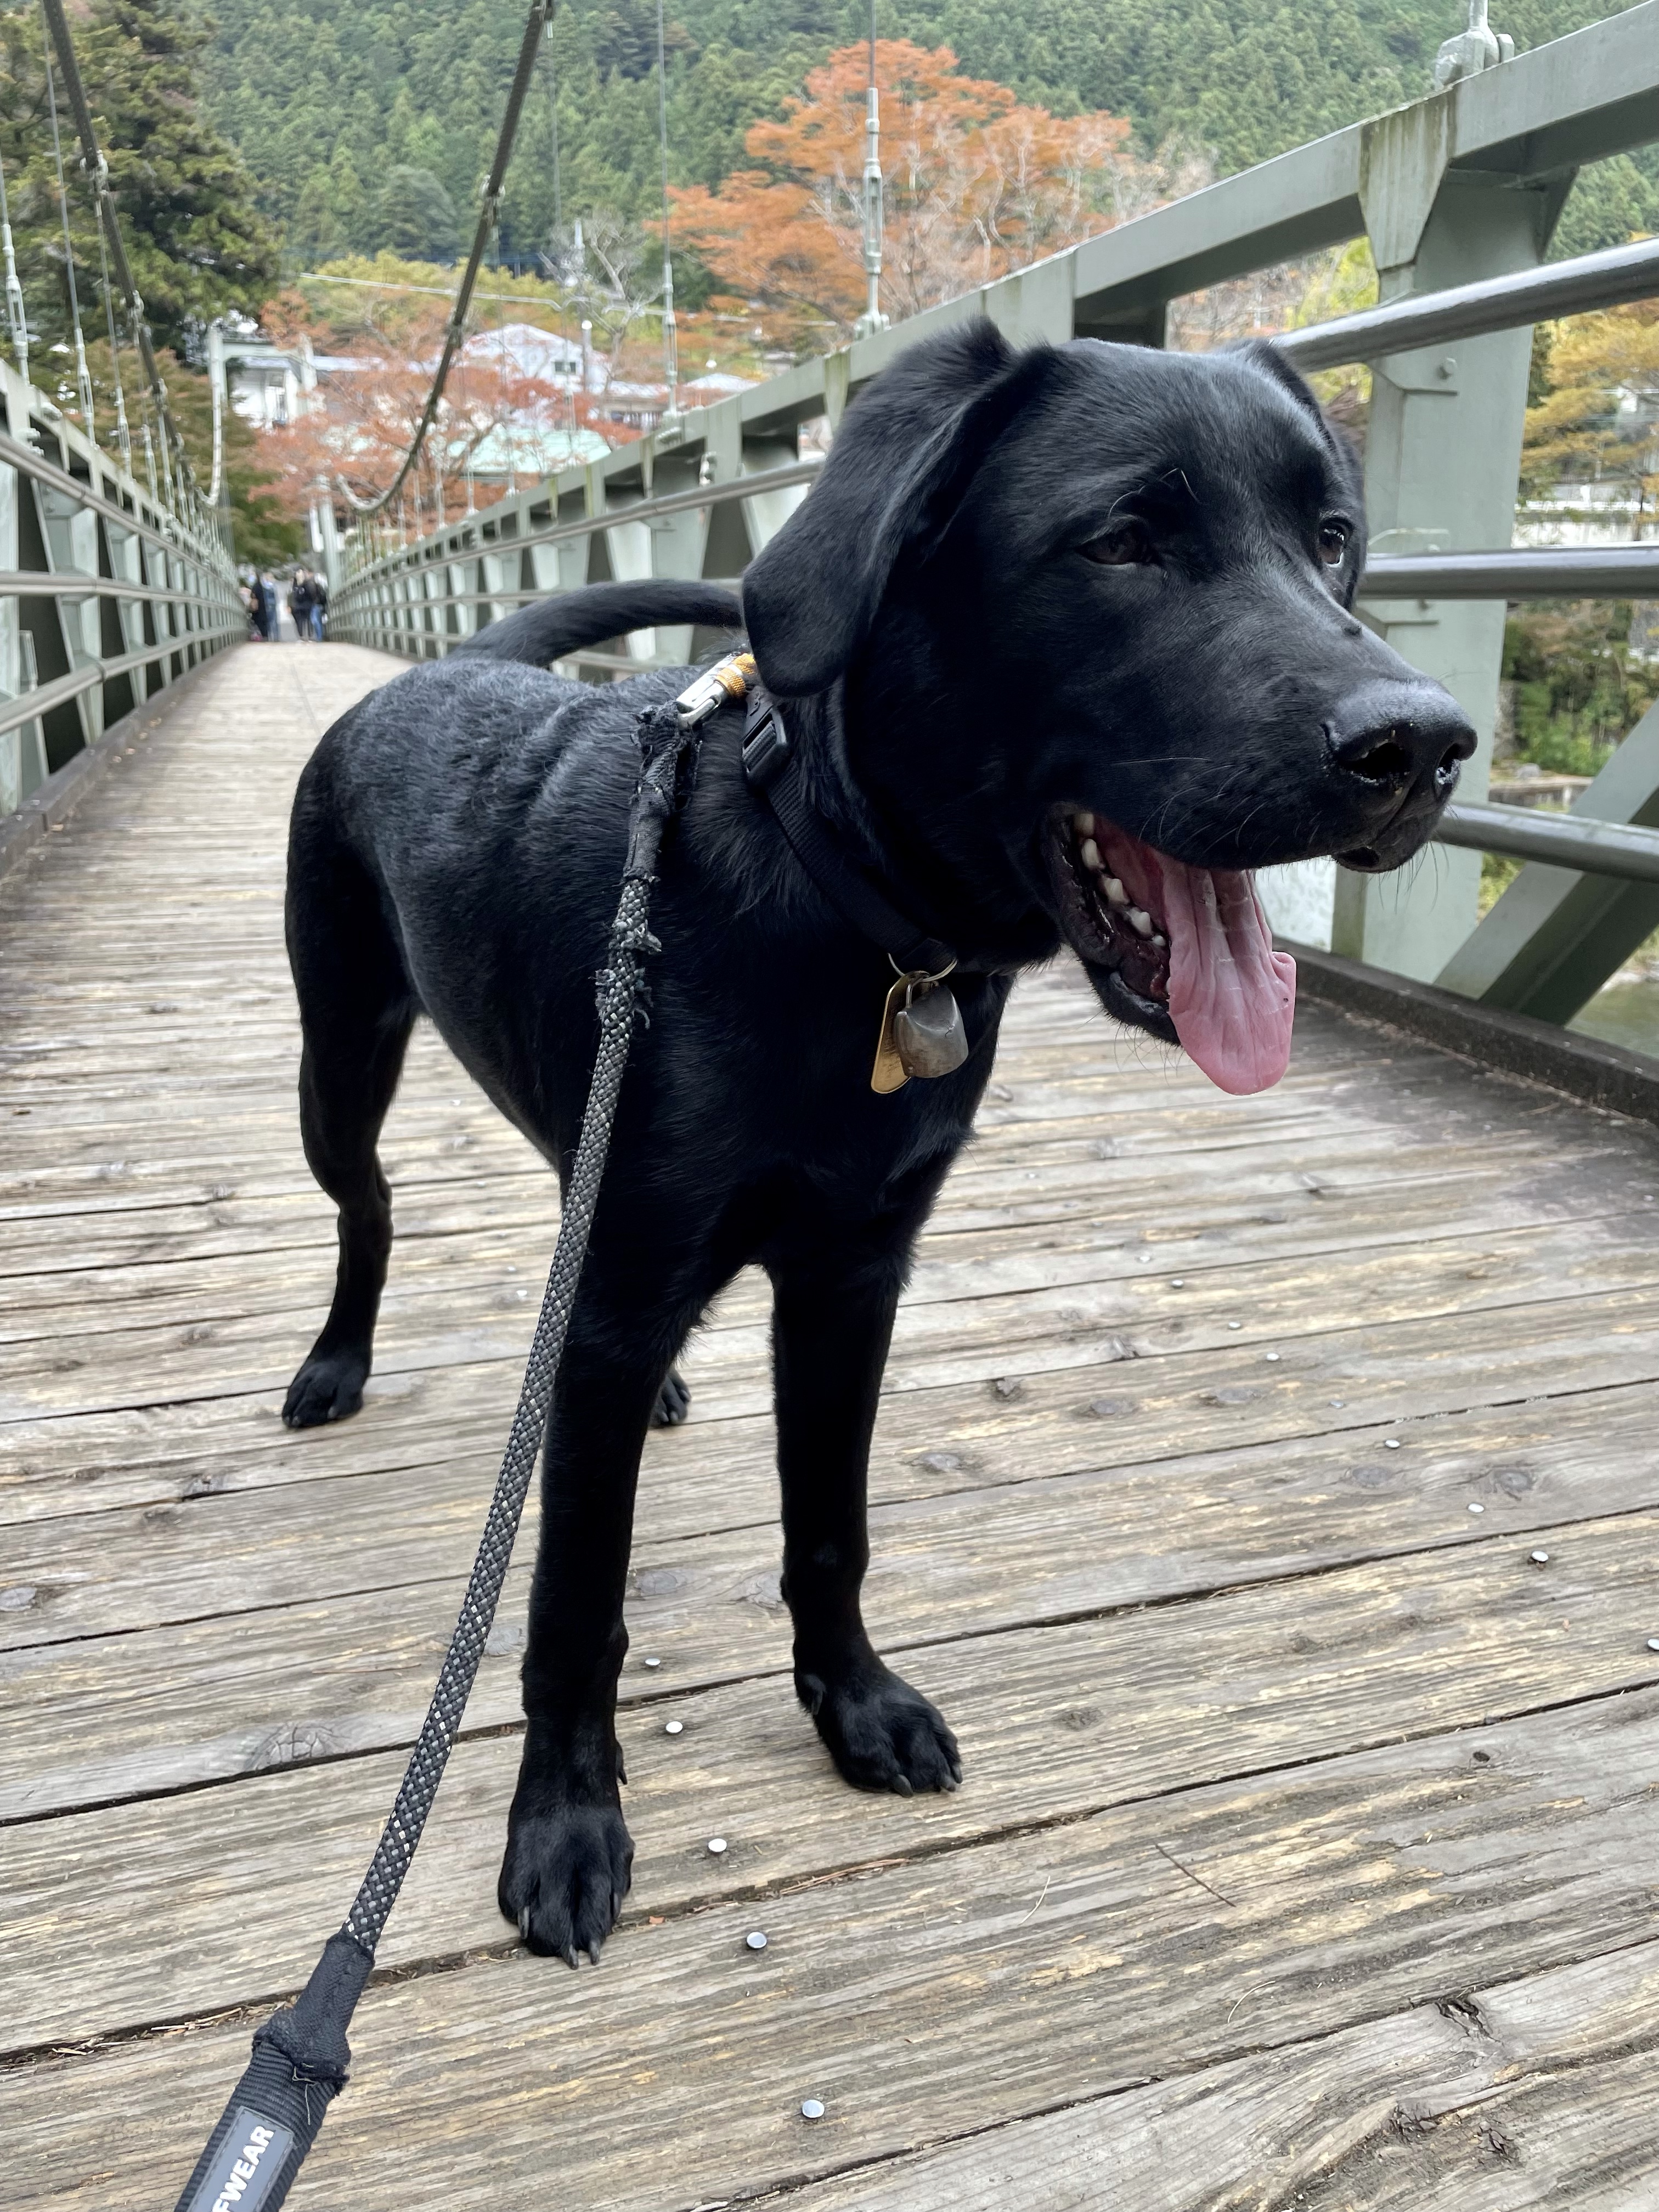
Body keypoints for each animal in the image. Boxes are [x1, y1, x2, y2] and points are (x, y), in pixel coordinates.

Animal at [282, 319, 1474, 1964]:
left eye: (1334, 537)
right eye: (1122, 540)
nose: (1423, 745)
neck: (838, 905)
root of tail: (445, 670)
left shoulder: (853, 1279)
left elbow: (830, 1526)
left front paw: (853, 1707)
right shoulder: (633, 1299)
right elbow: (575, 1600)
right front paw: (566, 1826)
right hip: (337, 1070)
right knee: (371, 1210)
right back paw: (338, 1362)